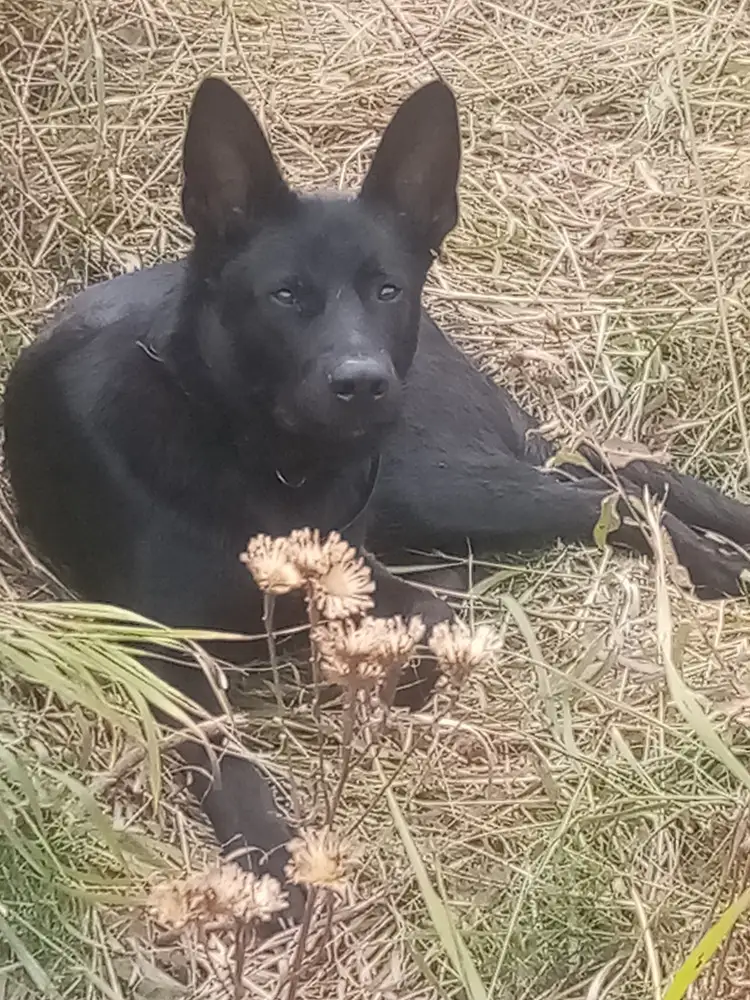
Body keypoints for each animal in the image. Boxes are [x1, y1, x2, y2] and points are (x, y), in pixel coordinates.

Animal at [5, 76, 750, 908]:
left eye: (388, 289)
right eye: (285, 295)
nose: (362, 383)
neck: (263, 465)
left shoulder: (359, 569)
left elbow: (425, 626)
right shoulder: (161, 653)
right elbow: (231, 766)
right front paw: (276, 867)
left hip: (429, 484)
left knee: (610, 493)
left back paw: (713, 564)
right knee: (616, 480)